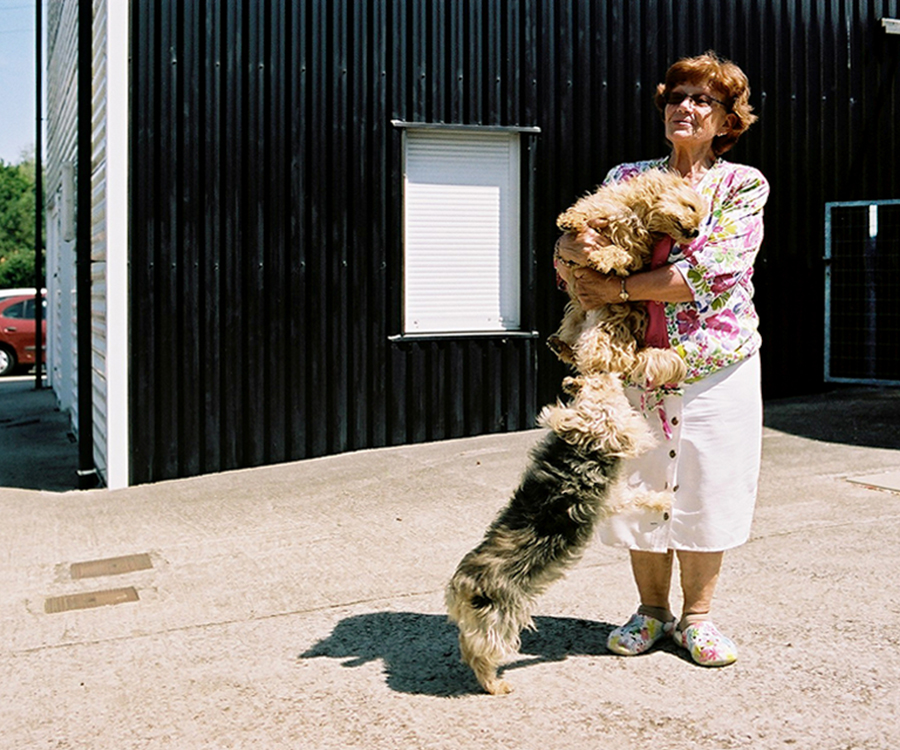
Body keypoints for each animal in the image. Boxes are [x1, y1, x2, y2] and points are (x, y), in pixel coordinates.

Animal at [442, 374, 660, 696]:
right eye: (600, 385)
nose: (608, 375)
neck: (579, 452)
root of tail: (461, 584)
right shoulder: (612, 496)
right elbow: (638, 490)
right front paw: (665, 500)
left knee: (468, 645)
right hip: (501, 619)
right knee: (481, 652)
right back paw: (495, 684)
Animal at [544, 167, 708, 384]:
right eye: (691, 207)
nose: (696, 232)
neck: (639, 217)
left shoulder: (634, 256)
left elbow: (619, 253)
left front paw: (601, 258)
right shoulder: (604, 208)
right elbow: (587, 210)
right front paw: (570, 220)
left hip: (600, 338)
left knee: (600, 370)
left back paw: (577, 382)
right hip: (573, 320)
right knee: (578, 356)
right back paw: (561, 346)